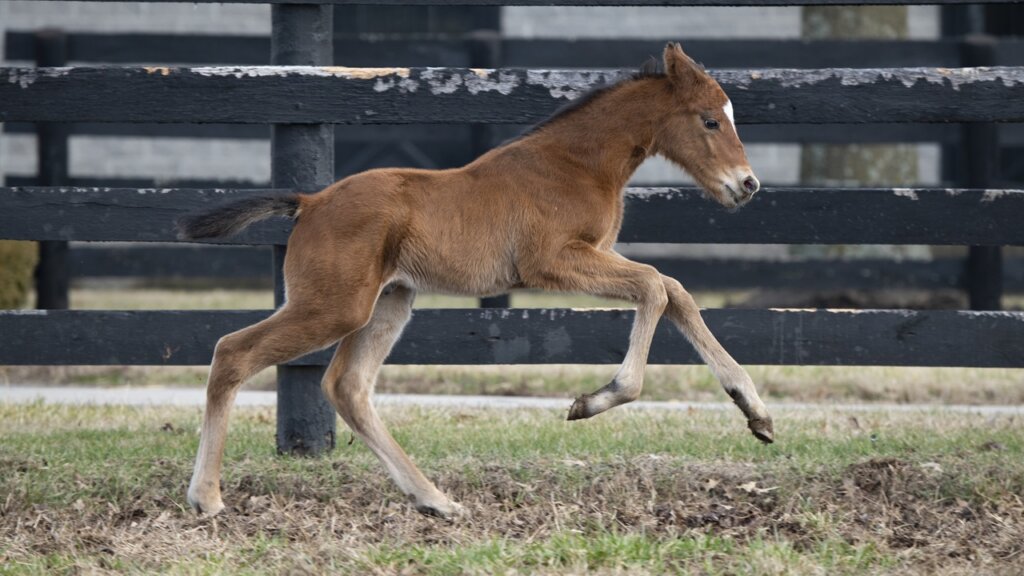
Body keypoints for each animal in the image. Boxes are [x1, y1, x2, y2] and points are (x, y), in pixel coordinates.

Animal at [177, 42, 773, 520]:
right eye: (710, 120)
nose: (747, 185)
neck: (576, 164)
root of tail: (310, 202)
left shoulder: (594, 254)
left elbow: (675, 292)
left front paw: (756, 412)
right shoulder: (552, 261)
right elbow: (654, 285)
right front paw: (594, 400)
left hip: (390, 301)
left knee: (347, 387)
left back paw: (435, 501)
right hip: (335, 305)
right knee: (233, 352)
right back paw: (206, 497)